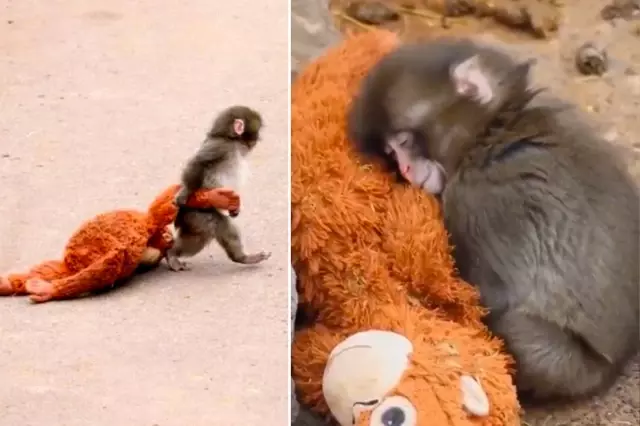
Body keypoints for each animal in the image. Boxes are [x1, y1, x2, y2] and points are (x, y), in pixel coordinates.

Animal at [166, 105, 272, 271]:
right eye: (257, 130)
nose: (257, 139)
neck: (230, 140)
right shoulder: (219, 147)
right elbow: (199, 162)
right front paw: (185, 192)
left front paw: (235, 209)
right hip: (196, 213)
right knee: (212, 227)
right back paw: (171, 254)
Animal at [348, 37, 640, 402]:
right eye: (390, 152)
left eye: (404, 141)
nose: (405, 168)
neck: (491, 130)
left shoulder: (472, 201)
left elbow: (486, 296)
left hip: (567, 366)